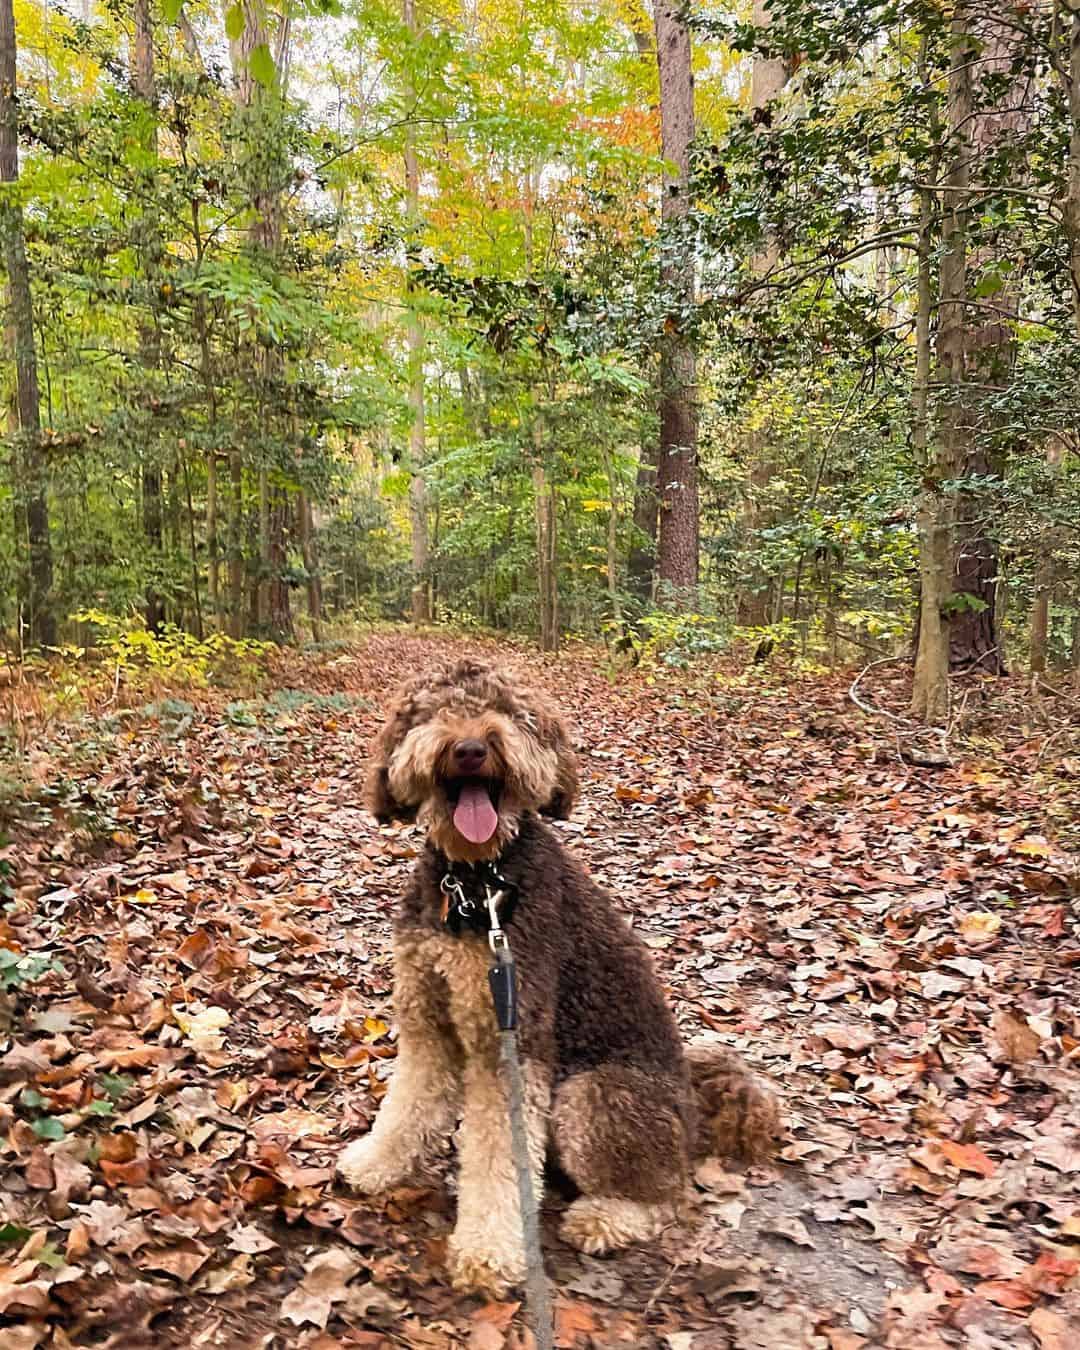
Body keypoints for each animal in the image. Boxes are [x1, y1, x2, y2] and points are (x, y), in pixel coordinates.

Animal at [337, 658, 777, 1290]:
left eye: (510, 712)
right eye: (434, 711)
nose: (470, 748)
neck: (477, 884)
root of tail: (695, 1114)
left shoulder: (512, 1039)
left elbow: (499, 1156)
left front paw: (488, 1250)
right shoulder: (427, 1019)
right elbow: (409, 1104)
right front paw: (377, 1164)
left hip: (594, 1094)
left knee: (668, 1196)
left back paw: (606, 1216)